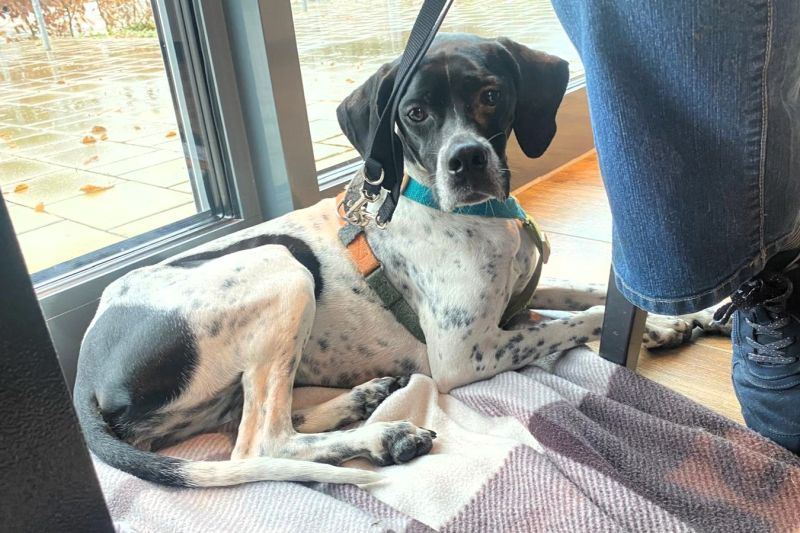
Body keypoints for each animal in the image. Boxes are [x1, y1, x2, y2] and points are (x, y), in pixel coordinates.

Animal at [74, 34, 728, 488]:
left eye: (490, 95)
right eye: (414, 114)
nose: (466, 161)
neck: (474, 214)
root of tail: (84, 371)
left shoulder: (520, 293)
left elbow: (583, 293)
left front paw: (676, 319)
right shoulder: (465, 354)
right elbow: (576, 322)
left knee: (253, 421)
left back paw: (361, 404)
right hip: (281, 268)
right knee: (261, 442)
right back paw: (382, 436)